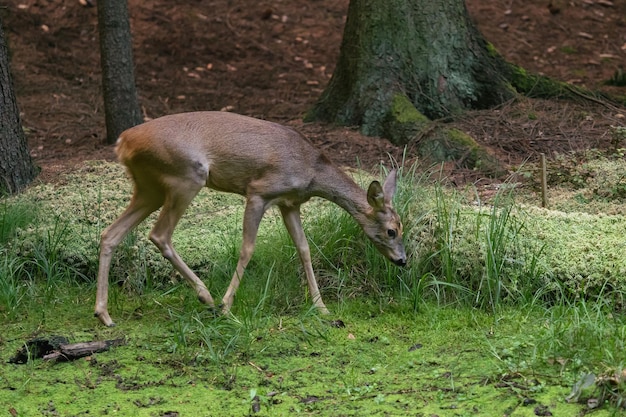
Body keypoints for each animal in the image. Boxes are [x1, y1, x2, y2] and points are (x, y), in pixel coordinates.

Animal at [92, 110, 404, 324]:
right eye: (392, 230)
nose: (402, 260)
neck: (311, 171)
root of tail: (123, 142)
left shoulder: (289, 204)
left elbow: (304, 249)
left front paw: (322, 307)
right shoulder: (258, 192)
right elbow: (247, 248)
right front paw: (227, 306)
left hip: (149, 187)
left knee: (111, 233)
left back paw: (104, 314)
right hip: (185, 176)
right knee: (159, 234)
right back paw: (206, 296)